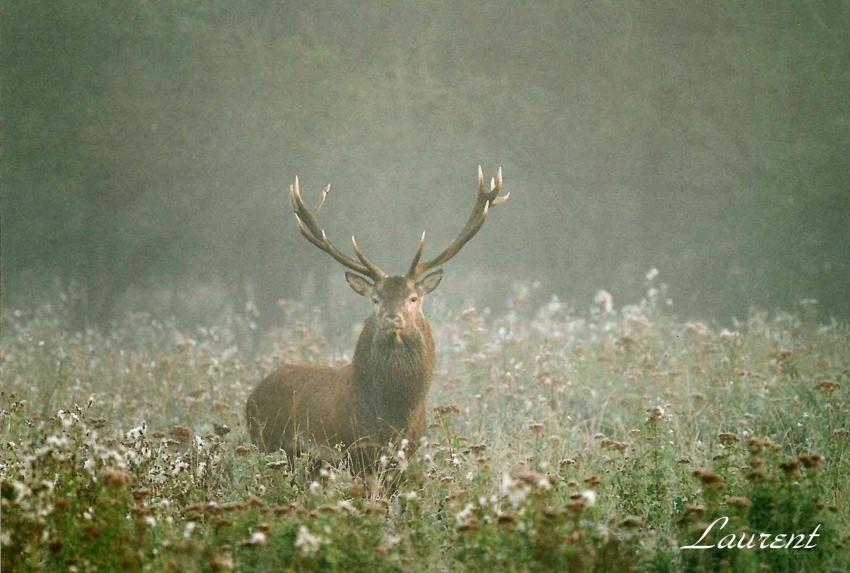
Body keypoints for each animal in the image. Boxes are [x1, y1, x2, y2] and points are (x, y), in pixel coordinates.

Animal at [246, 166, 509, 472]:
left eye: (413, 298)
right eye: (375, 299)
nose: (391, 318)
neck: (394, 418)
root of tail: (251, 397)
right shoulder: (354, 452)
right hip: (268, 443)